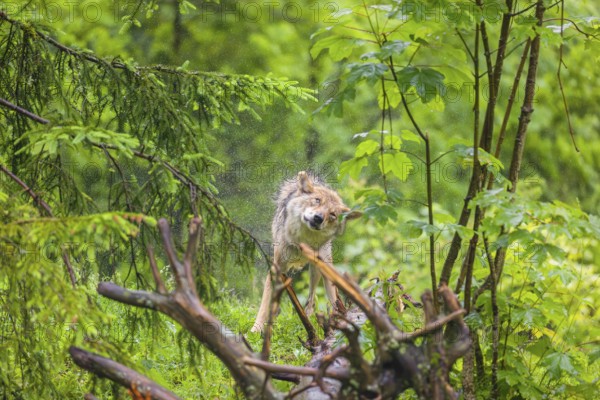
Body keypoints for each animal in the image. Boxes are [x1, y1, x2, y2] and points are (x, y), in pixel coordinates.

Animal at [252, 172, 360, 334]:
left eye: (333, 215)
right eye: (317, 200)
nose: (318, 218)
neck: (303, 242)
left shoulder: (326, 268)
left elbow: (333, 298)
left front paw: (341, 321)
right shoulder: (276, 268)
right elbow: (264, 305)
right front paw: (255, 330)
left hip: (316, 270)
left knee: (311, 300)